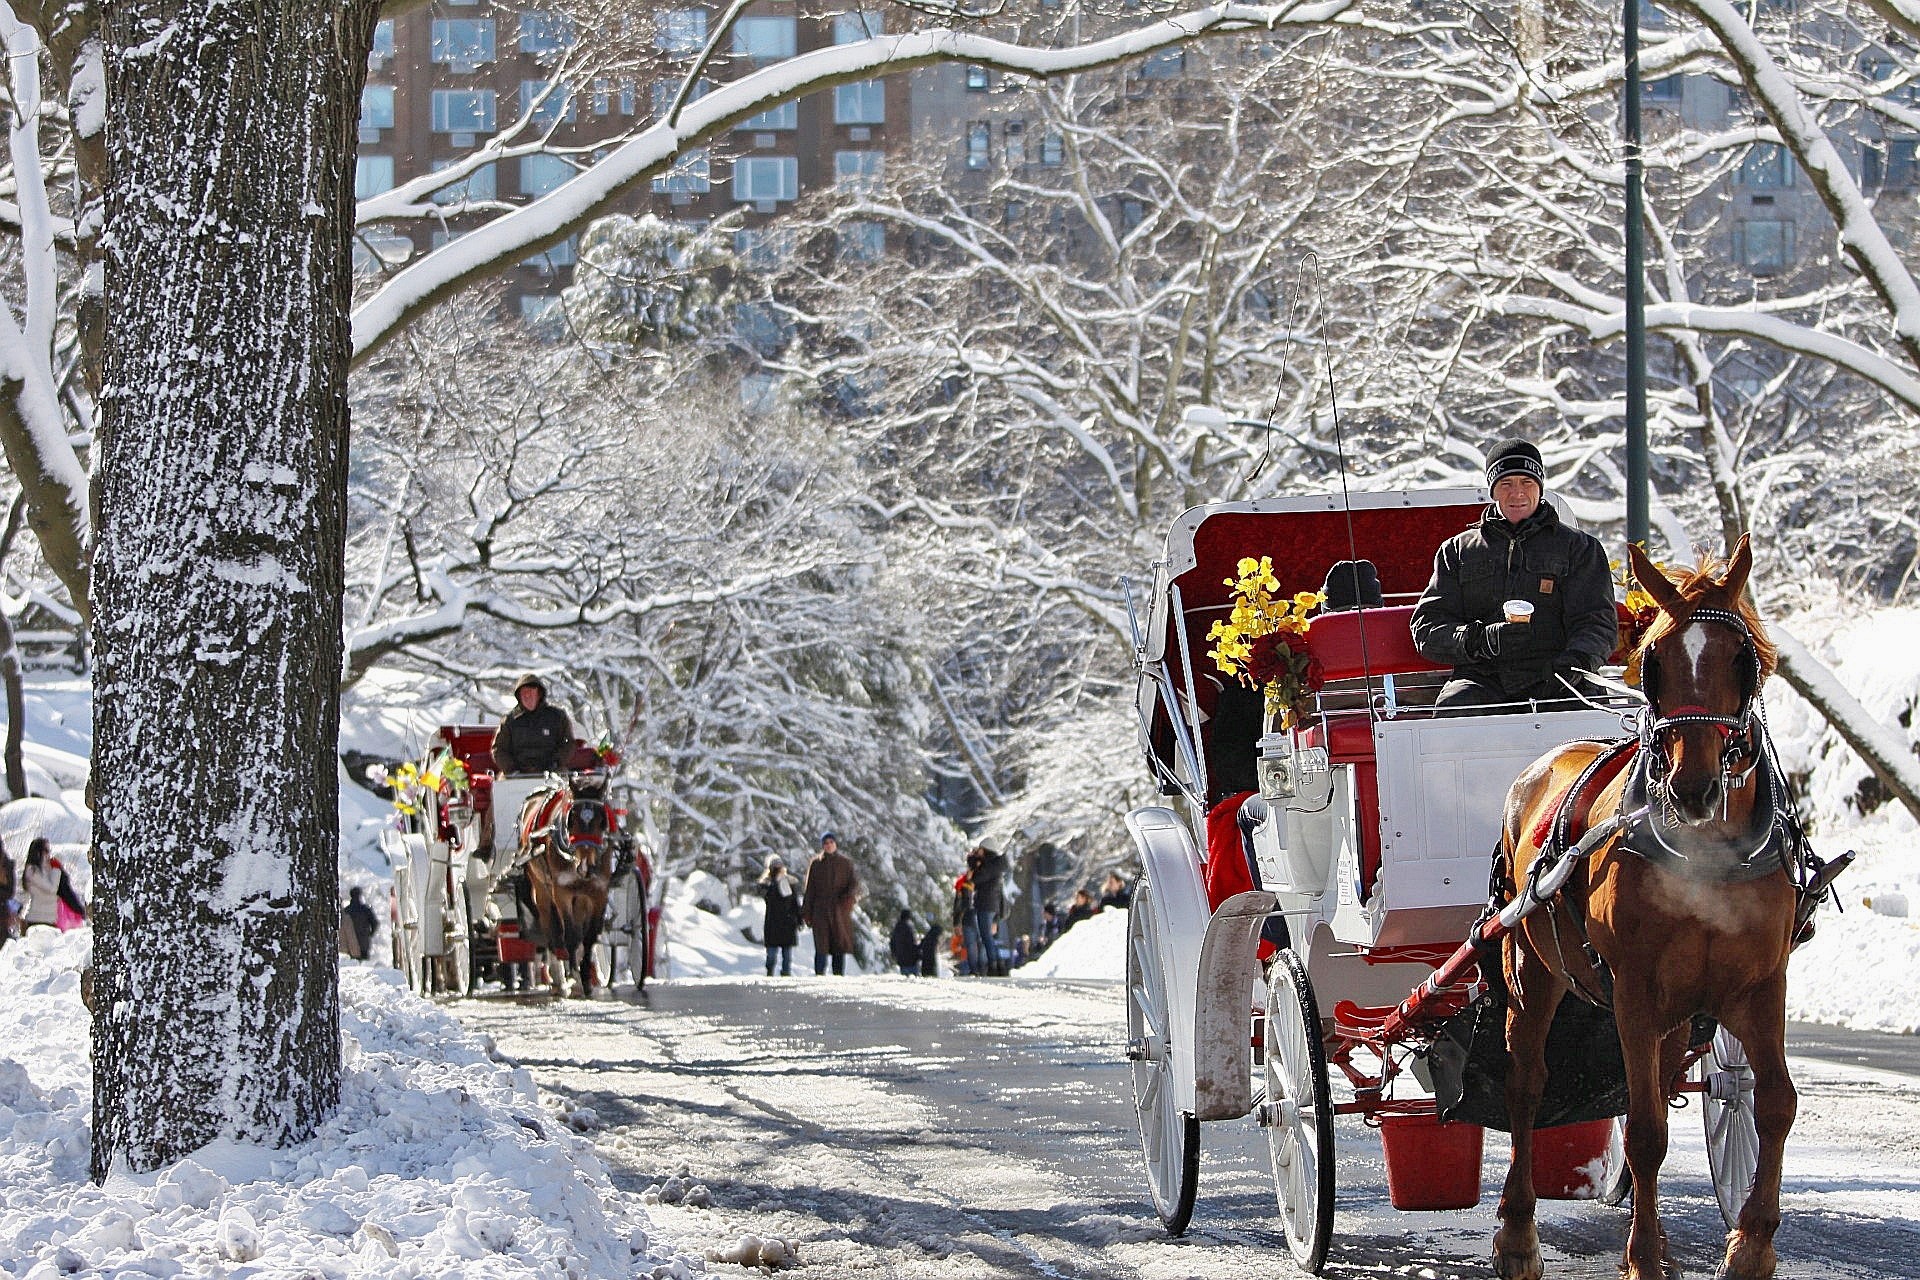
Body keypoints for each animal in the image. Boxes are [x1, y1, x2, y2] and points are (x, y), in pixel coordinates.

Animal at [518, 771, 614, 997]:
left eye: (602, 820)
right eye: (571, 819)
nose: (585, 866)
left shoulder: (599, 893)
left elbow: (589, 936)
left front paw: (585, 979)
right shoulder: (562, 892)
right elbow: (569, 934)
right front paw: (573, 974)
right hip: (542, 893)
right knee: (553, 931)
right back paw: (560, 980)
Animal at [1482, 537, 1797, 1280]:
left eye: (1742, 659)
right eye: (1652, 664)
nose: (1693, 787)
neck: (1708, 852)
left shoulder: (1761, 983)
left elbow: (1774, 1104)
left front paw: (1751, 1244)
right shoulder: (1634, 987)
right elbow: (1648, 1131)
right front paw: (1643, 1259)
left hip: (1679, 1007)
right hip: (1530, 966)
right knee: (1527, 1086)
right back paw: (1518, 1234)